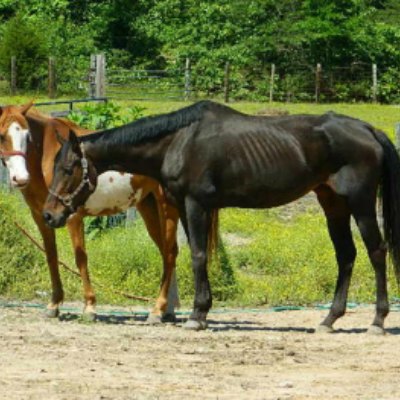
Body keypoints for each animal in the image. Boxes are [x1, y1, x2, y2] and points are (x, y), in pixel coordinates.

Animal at [0, 104, 179, 322]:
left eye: (28, 136)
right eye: (2, 136)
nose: (20, 178)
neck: (46, 154)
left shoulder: (72, 216)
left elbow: (80, 258)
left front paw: (90, 307)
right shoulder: (42, 217)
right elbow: (51, 256)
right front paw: (54, 304)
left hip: (167, 207)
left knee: (170, 253)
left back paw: (158, 310)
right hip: (149, 207)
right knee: (165, 252)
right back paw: (167, 310)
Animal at [42, 100, 400, 332]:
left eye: (69, 168)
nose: (49, 214)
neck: (178, 141)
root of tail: (368, 129)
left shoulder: (196, 204)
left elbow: (199, 255)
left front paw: (196, 316)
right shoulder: (185, 206)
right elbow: (195, 254)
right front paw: (201, 311)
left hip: (361, 203)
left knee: (376, 251)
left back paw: (378, 321)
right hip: (333, 204)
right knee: (346, 255)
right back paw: (329, 320)